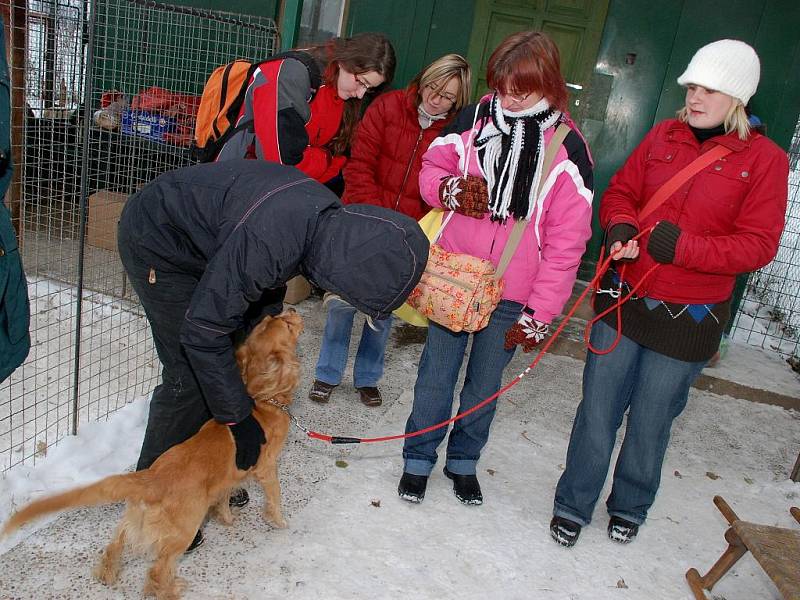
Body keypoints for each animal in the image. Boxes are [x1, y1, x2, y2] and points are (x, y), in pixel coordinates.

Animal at [0, 310, 304, 600]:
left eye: (270, 319)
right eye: (287, 325)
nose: (291, 309)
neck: (260, 400)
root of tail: (150, 479)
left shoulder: (226, 480)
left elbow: (222, 500)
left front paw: (227, 519)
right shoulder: (267, 467)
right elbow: (275, 497)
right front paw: (279, 521)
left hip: (134, 518)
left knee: (116, 543)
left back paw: (107, 574)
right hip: (184, 528)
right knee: (158, 569)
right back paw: (170, 590)